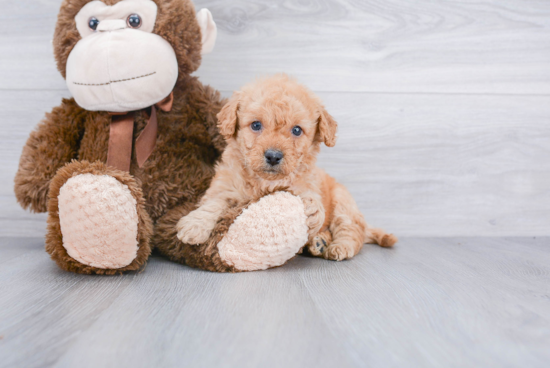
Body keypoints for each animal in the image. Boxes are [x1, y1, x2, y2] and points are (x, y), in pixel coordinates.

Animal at [179, 75, 398, 260]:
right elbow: (213, 204)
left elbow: (314, 204)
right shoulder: (225, 187)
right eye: (256, 125)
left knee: (352, 232)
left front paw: (312, 209)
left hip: (344, 204)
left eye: (297, 130)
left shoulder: (307, 186)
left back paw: (339, 246)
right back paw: (319, 242)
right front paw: (194, 226)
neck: (264, 182)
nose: (273, 156)